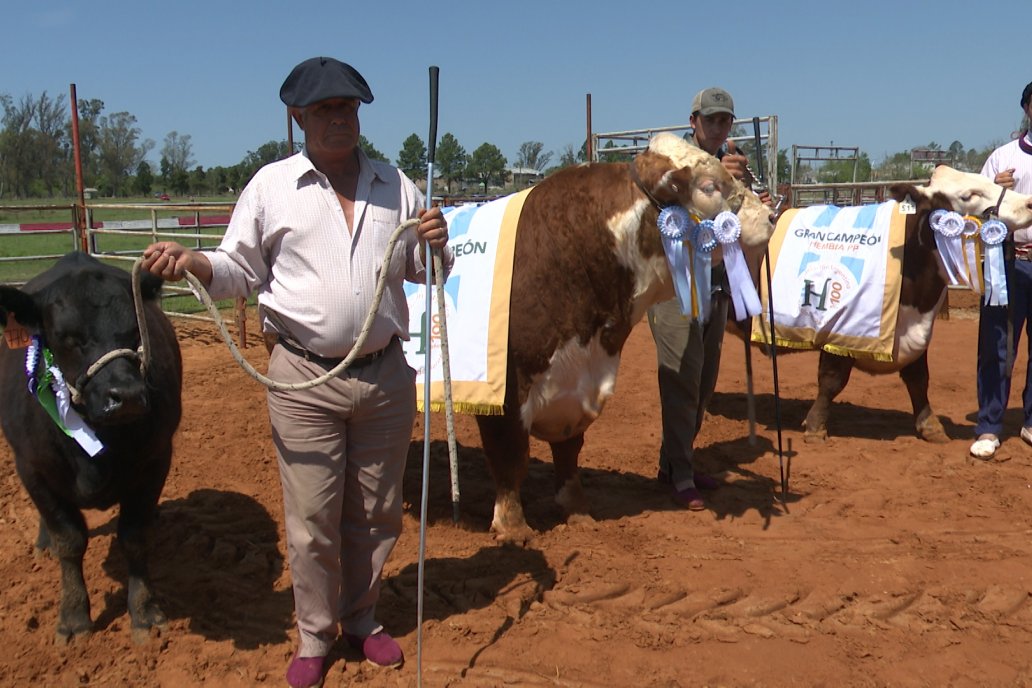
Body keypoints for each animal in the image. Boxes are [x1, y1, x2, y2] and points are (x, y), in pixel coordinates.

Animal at [0, 254, 181, 647]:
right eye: (68, 338)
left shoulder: (155, 461)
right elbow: (69, 541)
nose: (127, 396)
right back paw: (43, 544)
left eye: (135, 332)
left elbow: (134, 536)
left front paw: (144, 611)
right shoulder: (32, 468)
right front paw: (73, 618)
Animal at [472, 134, 771, 540]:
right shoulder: (504, 388)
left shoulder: (577, 389)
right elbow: (510, 457)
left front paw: (577, 510)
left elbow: (569, 453)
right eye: (709, 186)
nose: (771, 215)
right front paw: (514, 528)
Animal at [792, 169, 1032, 443]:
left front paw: (931, 426)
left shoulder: (916, 335)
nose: (1028, 203)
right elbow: (832, 380)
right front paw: (815, 427)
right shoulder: (840, 328)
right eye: (967, 195)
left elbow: (918, 379)